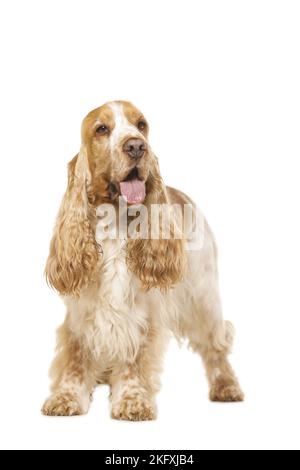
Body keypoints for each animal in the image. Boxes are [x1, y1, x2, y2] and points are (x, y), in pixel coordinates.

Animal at [42, 101, 244, 420]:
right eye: (101, 129)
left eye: (141, 125)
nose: (137, 146)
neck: (114, 224)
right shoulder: (80, 314)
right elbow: (75, 357)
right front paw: (66, 397)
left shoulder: (142, 313)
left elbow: (134, 358)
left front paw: (132, 400)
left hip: (203, 297)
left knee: (217, 344)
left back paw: (227, 386)